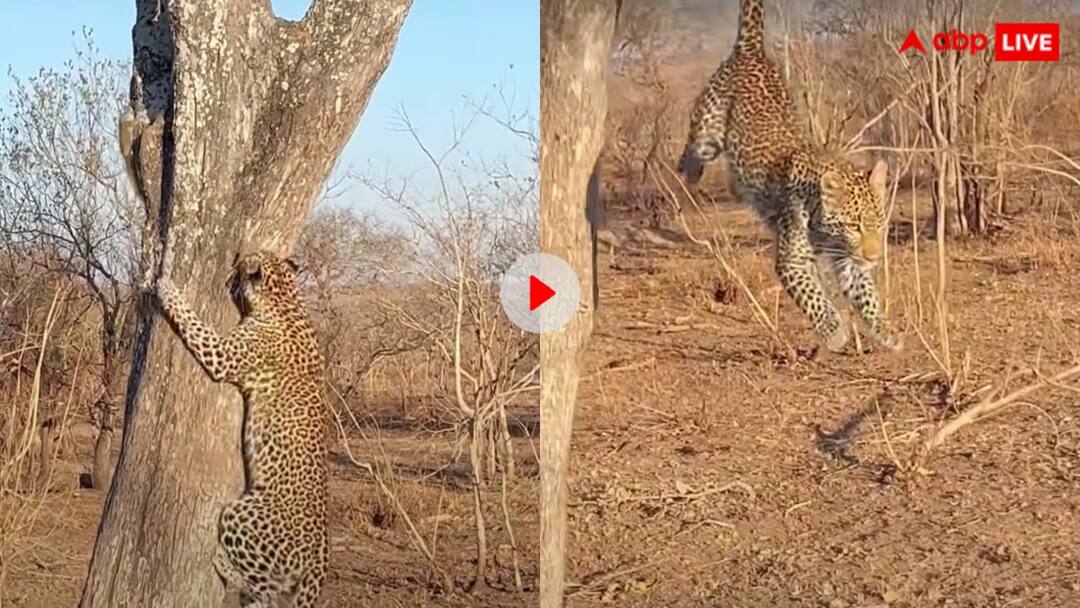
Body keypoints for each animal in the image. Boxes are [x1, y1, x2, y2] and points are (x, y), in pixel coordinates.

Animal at [155, 251, 330, 608]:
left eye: (243, 264)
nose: (236, 258)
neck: (286, 299)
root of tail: (321, 554)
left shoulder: (220, 354)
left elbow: (194, 323)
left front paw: (166, 288)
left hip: (241, 514)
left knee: (266, 593)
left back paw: (221, 562)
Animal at [677, 0, 901, 353]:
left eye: (878, 223)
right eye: (854, 226)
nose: (874, 256)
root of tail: (752, 50)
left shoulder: (848, 261)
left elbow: (865, 294)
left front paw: (884, 328)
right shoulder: (792, 261)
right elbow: (814, 298)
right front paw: (834, 332)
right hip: (708, 132)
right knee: (695, 143)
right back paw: (688, 171)